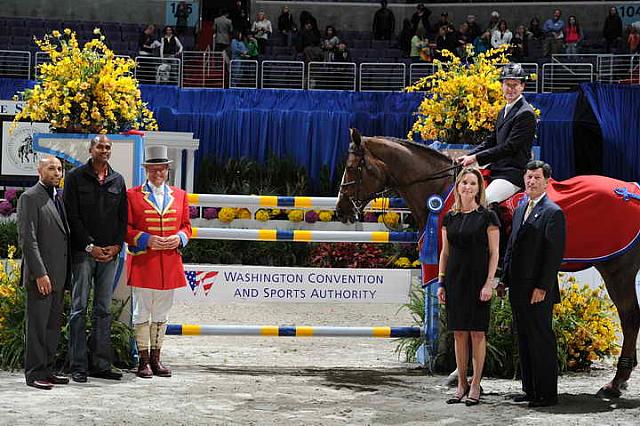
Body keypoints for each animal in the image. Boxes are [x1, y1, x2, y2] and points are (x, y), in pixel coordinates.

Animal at [336, 127, 640, 400]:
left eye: (352, 168)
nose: (341, 211)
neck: (443, 191)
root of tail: (631, 191)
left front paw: (466, 377)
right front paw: (464, 376)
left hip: (618, 270)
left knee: (629, 318)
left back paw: (615, 384)